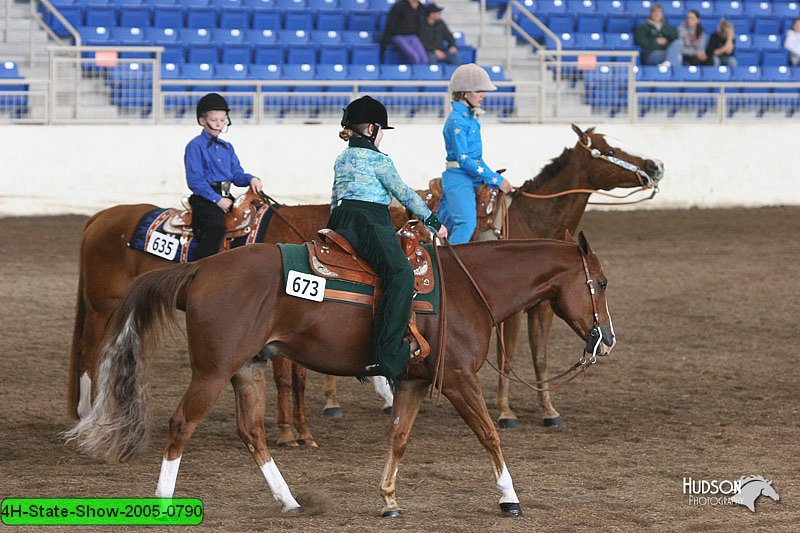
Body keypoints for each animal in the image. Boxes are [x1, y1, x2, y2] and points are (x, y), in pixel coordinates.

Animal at [65, 233, 616, 516]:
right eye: (602, 282)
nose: (607, 339)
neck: (468, 287)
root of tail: (202, 268)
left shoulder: (413, 382)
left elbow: (399, 437)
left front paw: (389, 500)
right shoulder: (460, 378)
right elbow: (489, 436)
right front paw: (510, 498)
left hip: (246, 369)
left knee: (252, 432)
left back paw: (289, 501)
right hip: (212, 371)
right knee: (182, 424)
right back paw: (163, 502)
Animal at [318, 122, 664, 422]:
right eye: (609, 149)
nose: (656, 165)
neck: (533, 218)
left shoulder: (543, 305)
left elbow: (540, 357)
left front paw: (548, 410)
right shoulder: (513, 310)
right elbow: (506, 358)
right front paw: (506, 411)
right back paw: (333, 402)